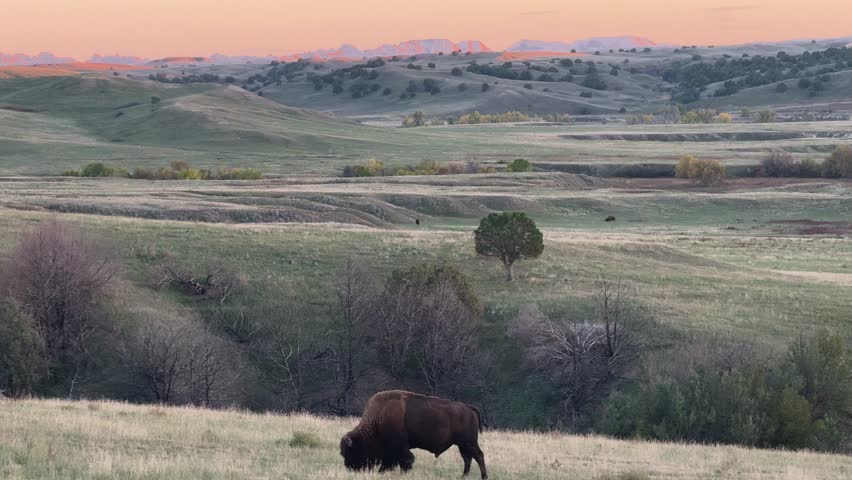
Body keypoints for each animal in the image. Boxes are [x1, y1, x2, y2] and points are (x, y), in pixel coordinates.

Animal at [340, 390, 487, 478]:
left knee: (478, 456)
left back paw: (483, 476)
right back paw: (463, 476)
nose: (350, 468)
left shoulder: (399, 449)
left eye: (351, 451)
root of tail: (468, 407)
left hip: (468, 443)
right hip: (463, 445)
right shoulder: (392, 452)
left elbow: (405, 461)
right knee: (468, 458)